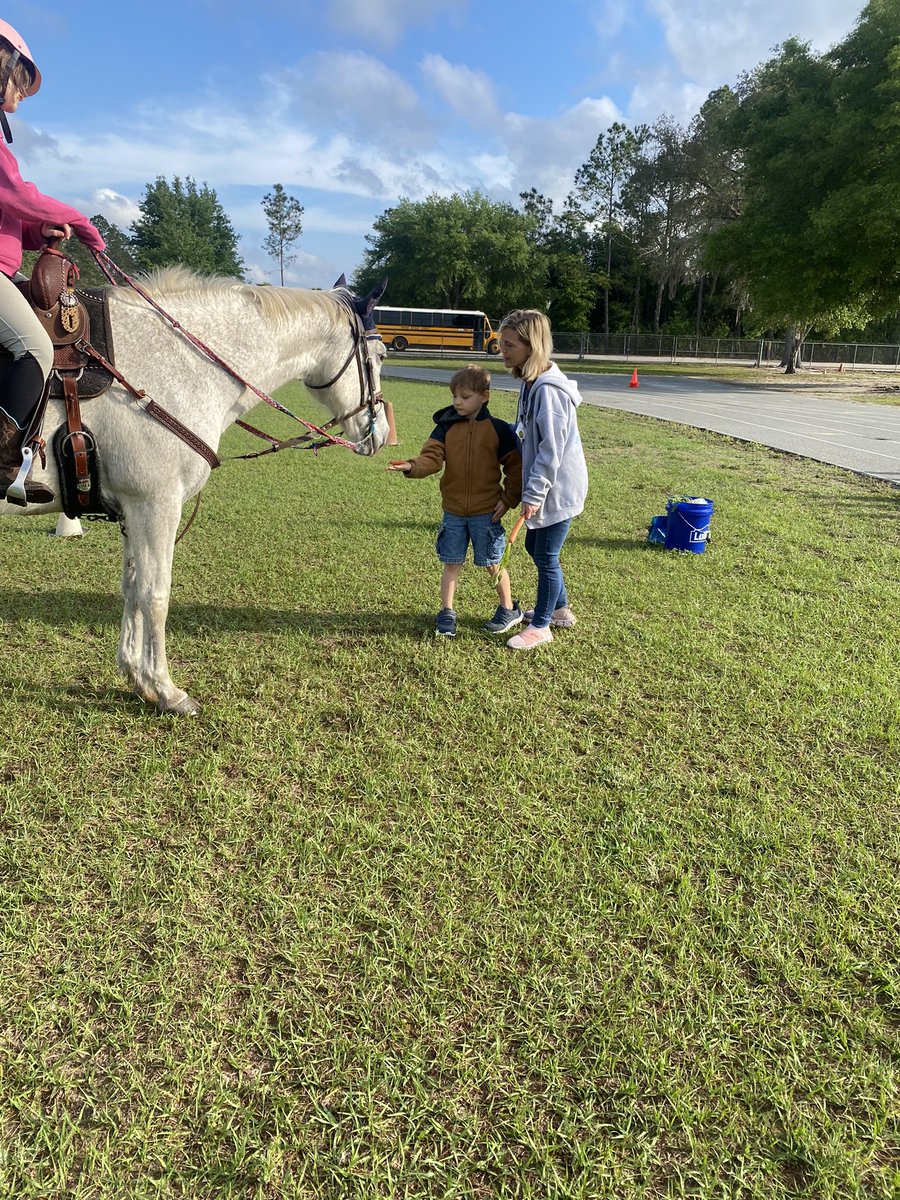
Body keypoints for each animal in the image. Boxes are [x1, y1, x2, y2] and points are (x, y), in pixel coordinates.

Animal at [1, 267, 390, 715]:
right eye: (380, 356)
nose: (383, 434)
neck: (178, 364)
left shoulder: (133, 510)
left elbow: (132, 589)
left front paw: (137, 678)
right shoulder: (156, 505)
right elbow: (154, 595)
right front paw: (166, 690)